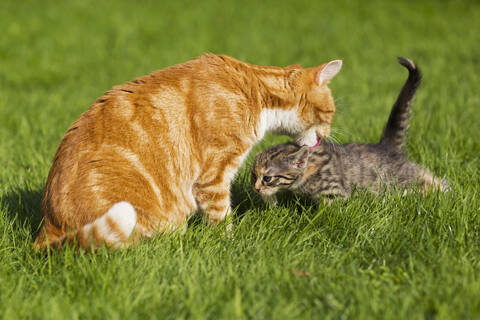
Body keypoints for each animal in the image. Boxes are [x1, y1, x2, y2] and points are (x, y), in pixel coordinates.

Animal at [32, 52, 342, 249]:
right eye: (330, 113)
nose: (328, 136)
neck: (255, 90)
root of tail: (49, 227)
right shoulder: (214, 174)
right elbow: (221, 216)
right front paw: (228, 243)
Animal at [251, 57, 450, 202]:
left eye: (267, 178)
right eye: (253, 175)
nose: (256, 188)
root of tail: (386, 145)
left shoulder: (335, 191)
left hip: (402, 177)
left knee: (429, 180)